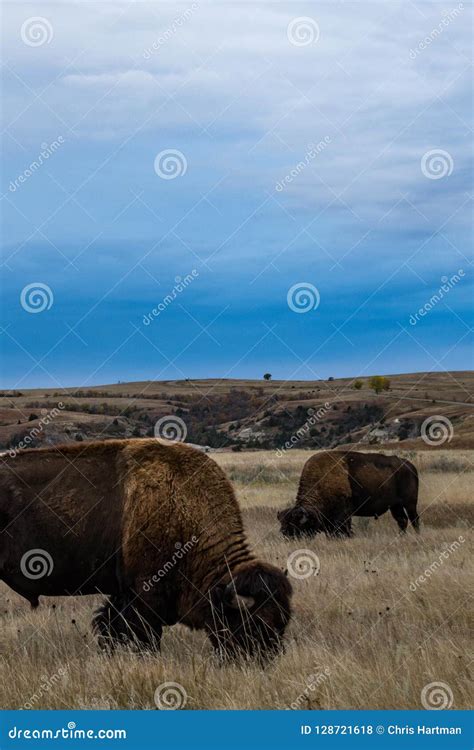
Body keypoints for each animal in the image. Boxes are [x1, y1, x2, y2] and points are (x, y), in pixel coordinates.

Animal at [0, 438, 290, 660]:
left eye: (282, 622)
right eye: (254, 623)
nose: (265, 661)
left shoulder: (123, 595)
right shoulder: (144, 595)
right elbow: (143, 636)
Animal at [278, 452, 418, 540]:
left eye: (298, 528)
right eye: (283, 530)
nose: (290, 541)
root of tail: (409, 465)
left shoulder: (343, 515)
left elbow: (343, 531)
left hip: (410, 503)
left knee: (414, 519)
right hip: (395, 506)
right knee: (402, 520)